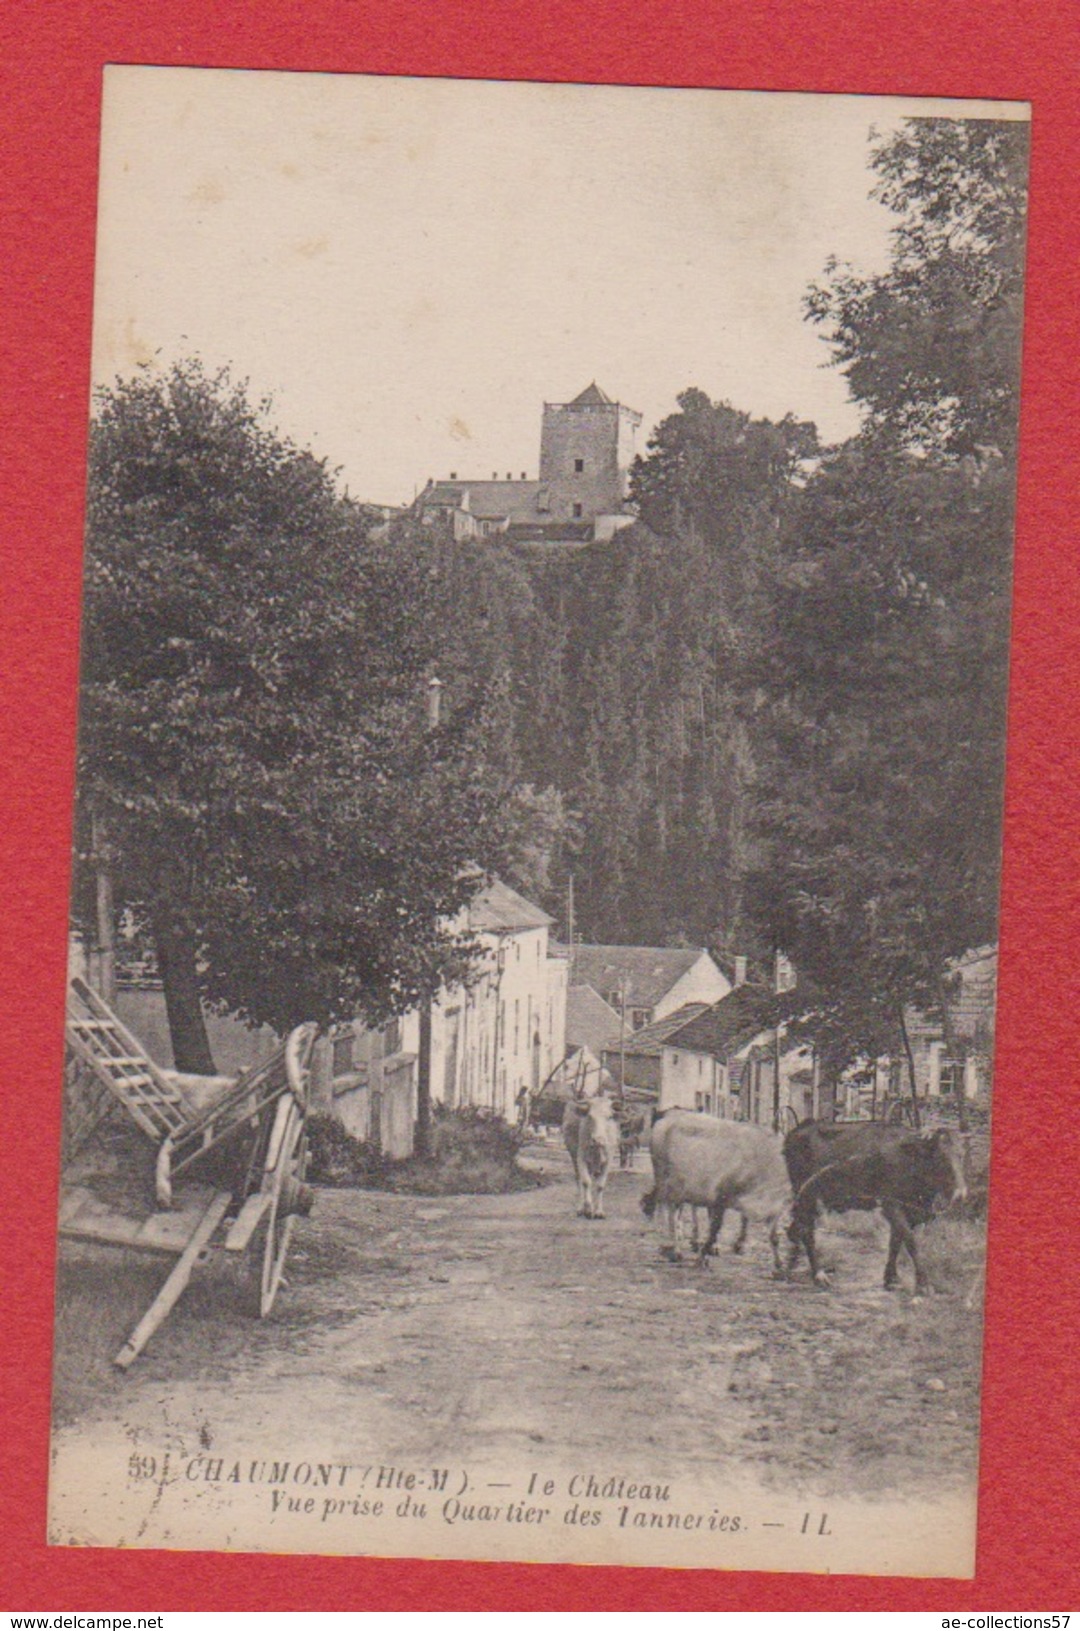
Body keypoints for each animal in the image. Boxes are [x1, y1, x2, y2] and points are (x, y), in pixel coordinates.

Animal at [561, 1089, 623, 1219]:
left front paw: (598, 1211)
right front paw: (587, 1209)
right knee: (579, 1179)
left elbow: (600, 1185)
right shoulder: (581, 1157)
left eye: (609, 1117)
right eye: (590, 1116)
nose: (598, 1139)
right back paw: (581, 1207)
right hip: (573, 1156)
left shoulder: (608, 1160)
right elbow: (585, 1181)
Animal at [642, 1109, 796, 1272]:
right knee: (668, 1213)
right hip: (664, 1181)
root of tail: (664, 1120)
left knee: (675, 1213)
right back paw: (673, 1249)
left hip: (680, 1189)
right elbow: (714, 1229)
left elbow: (773, 1237)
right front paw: (702, 1257)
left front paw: (779, 1264)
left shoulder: (773, 1208)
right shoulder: (721, 1197)